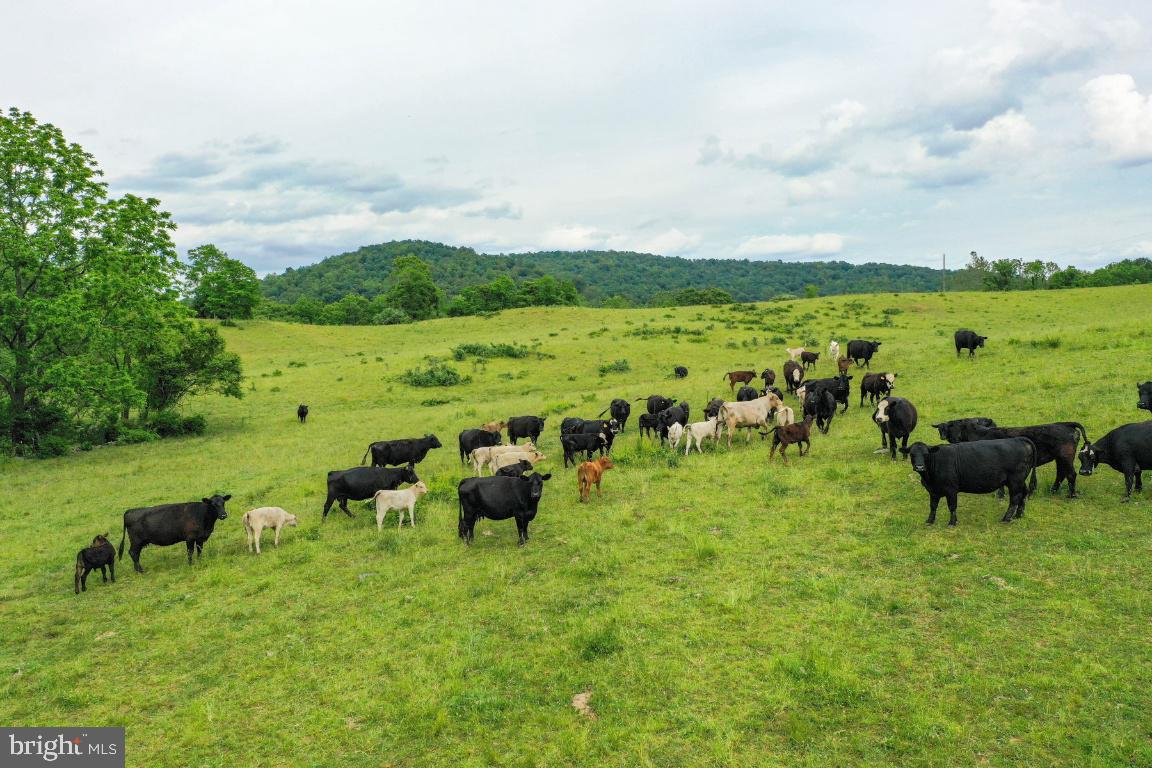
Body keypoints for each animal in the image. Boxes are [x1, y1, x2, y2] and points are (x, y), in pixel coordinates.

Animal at [958, 422, 1088, 498]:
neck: (982, 434)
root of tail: (1066, 424)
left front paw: (1000, 495)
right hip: (1060, 458)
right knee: (1061, 474)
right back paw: (1053, 490)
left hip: (1065, 457)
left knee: (1071, 474)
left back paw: (1071, 495)